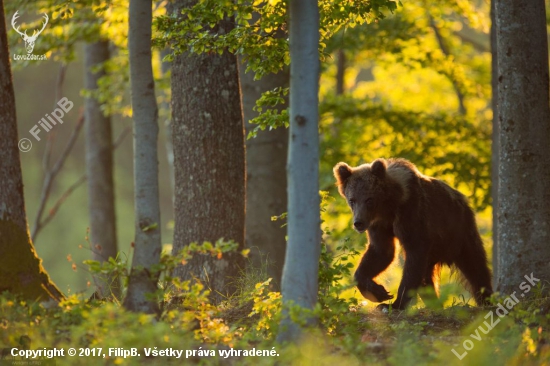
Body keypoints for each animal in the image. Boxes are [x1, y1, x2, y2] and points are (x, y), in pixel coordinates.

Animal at [334, 157, 494, 308]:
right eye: (352, 200)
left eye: (369, 199)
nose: (358, 222)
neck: (388, 206)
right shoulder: (379, 224)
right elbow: (381, 252)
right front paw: (379, 292)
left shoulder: (410, 211)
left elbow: (414, 252)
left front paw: (394, 304)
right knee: (426, 279)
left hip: (459, 230)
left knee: (475, 265)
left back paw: (487, 300)